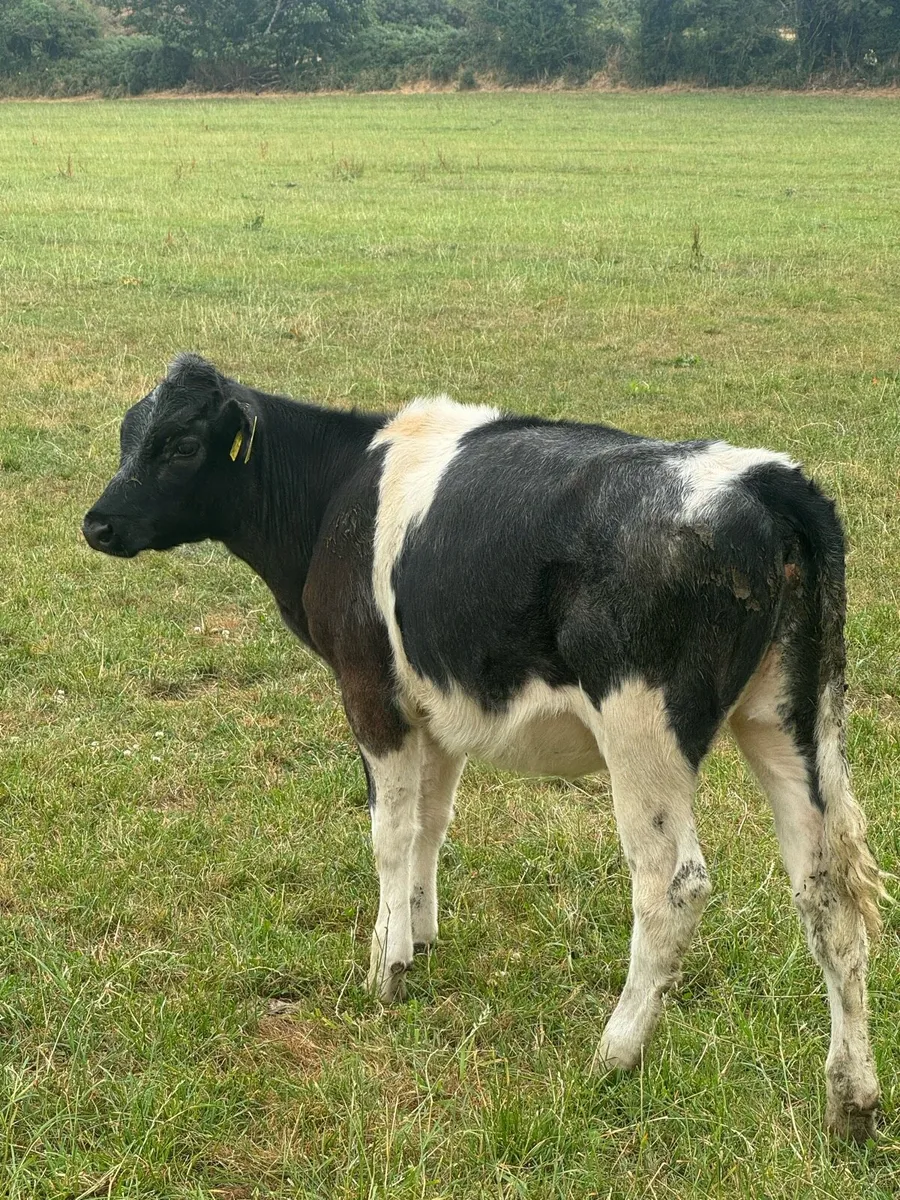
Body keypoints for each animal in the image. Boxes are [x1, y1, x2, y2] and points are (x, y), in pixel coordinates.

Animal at [83, 354, 884, 1141]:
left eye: (182, 445)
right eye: (127, 434)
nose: (98, 524)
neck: (337, 490)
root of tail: (763, 479)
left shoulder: (372, 691)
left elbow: (389, 833)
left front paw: (385, 966)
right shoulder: (441, 706)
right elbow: (430, 825)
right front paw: (419, 935)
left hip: (642, 726)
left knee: (673, 884)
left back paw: (614, 1053)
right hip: (793, 717)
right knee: (827, 887)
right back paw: (852, 1099)